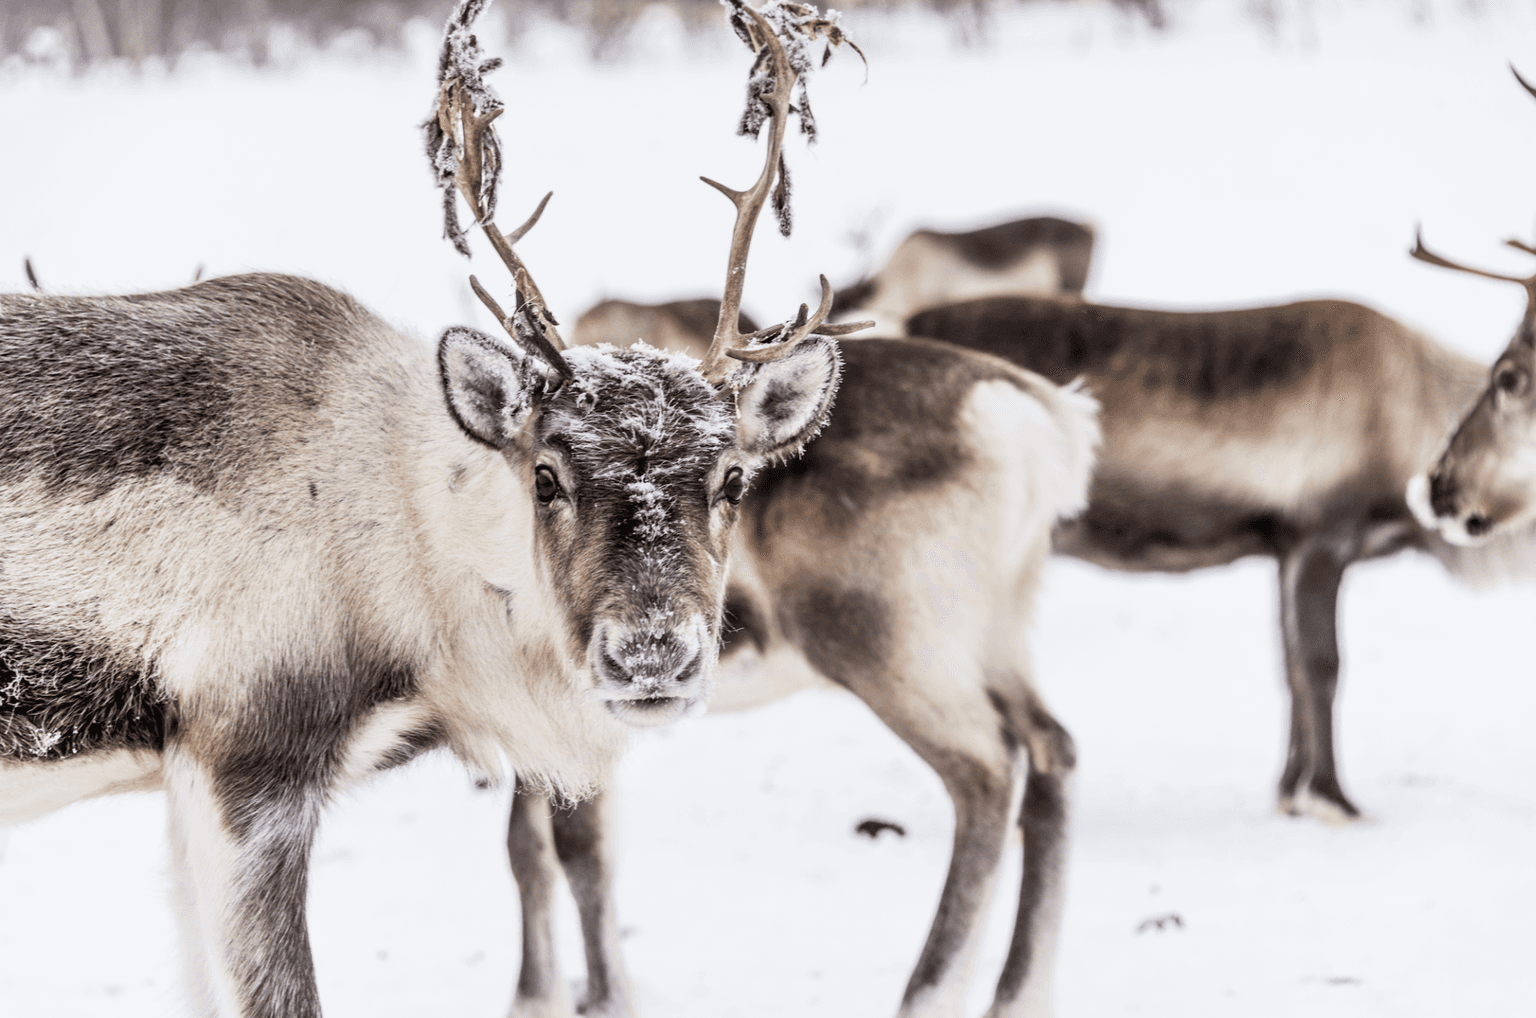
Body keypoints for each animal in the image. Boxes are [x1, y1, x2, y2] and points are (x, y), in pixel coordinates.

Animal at [502, 6, 1101, 1017]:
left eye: (731, 480)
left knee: (990, 770)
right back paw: (1017, 991)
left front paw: (593, 995)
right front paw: (540, 993)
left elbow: (574, 846)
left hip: (889, 637)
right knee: (1053, 750)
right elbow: (531, 848)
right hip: (998, 623)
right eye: (548, 474)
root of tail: (1033, 418)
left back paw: (928, 989)